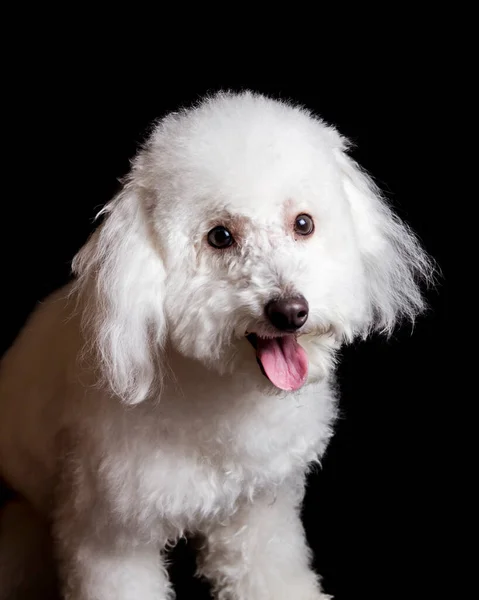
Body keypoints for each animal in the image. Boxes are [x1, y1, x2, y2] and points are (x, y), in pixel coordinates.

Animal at [0, 90, 436, 600]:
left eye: (303, 223)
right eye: (220, 236)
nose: (290, 310)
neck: (220, 391)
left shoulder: (258, 509)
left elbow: (269, 568)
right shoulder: (107, 534)